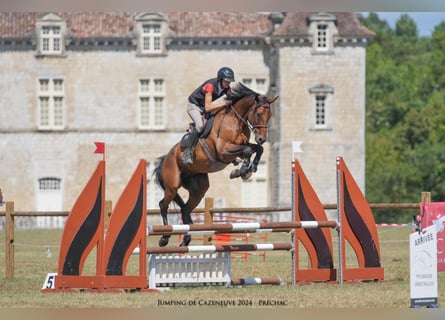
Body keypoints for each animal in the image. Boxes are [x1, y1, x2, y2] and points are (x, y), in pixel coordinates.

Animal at [154, 81, 276, 246]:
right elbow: (248, 151)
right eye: (258, 114)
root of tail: (166, 158)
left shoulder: (239, 148)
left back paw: (186, 240)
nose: (262, 138)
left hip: (199, 189)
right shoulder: (224, 150)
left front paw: (248, 169)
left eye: (270, 115)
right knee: (163, 204)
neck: (235, 121)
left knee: (185, 209)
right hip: (172, 185)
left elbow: (257, 149)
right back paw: (164, 238)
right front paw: (243, 171)